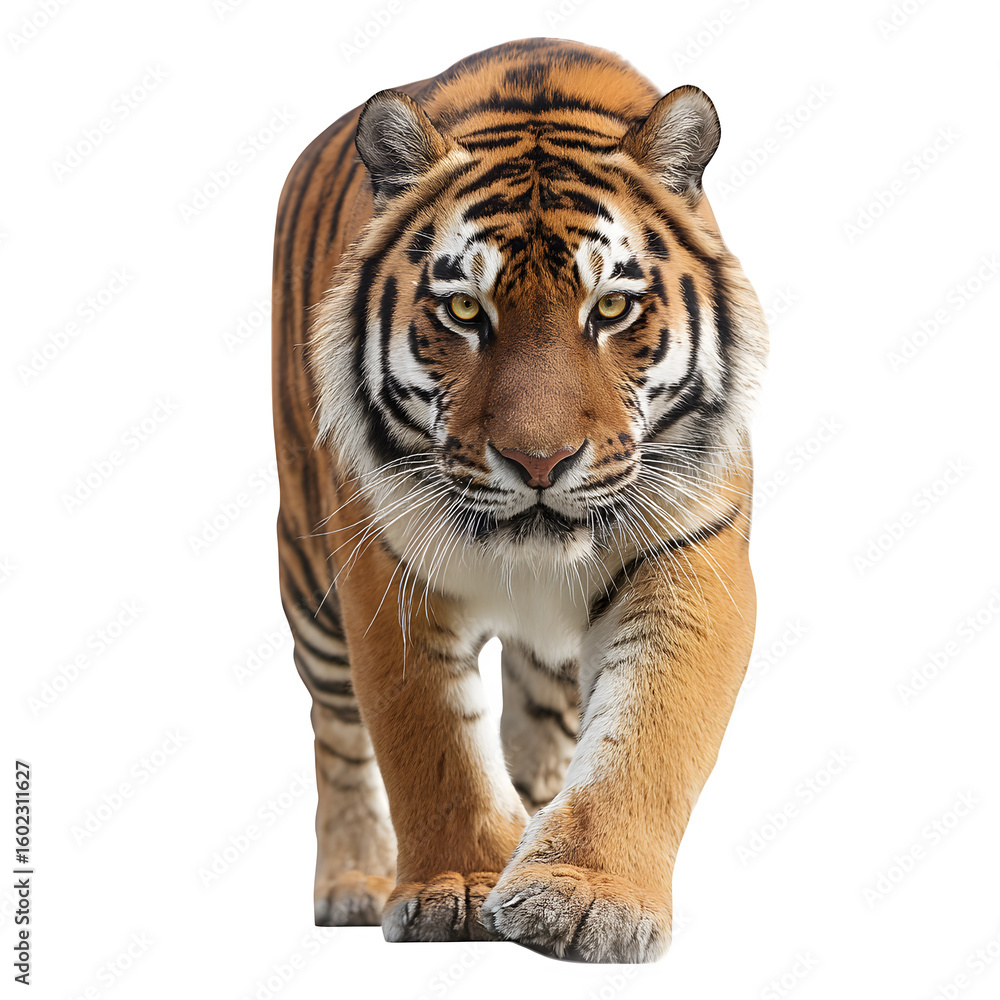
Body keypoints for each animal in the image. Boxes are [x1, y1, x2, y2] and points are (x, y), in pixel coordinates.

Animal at [271, 37, 767, 962]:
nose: (540, 462)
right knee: (339, 734)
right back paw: (352, 882)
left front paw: (583, 899)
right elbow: (431, 742)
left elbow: (649, 734)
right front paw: (463, 886)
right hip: (308, 575)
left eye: (612, 307)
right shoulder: (384, 566)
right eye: (466, 309)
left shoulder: (692, 550)